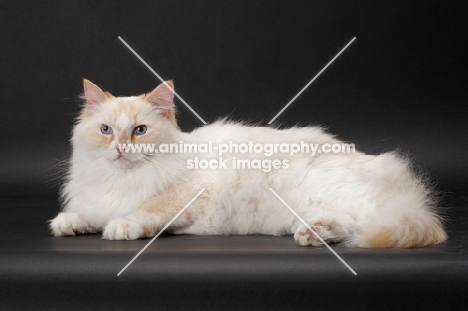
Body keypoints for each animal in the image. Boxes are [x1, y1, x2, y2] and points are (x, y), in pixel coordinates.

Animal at [49, 80, 448, 249]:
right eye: (105, 130)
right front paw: (68, 224)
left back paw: (317, 233)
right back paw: (314, 233)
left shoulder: (189, 194)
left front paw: (120, 227)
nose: (119, 148)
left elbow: (146, 210)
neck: (124, 179)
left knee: (365, 224)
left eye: (140, 131)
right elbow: (87, 214)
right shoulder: (97, 199)